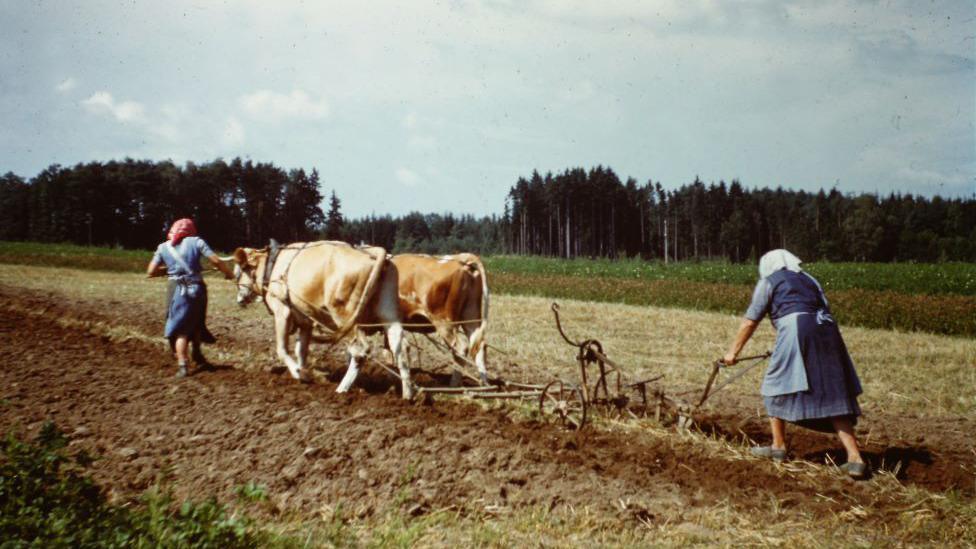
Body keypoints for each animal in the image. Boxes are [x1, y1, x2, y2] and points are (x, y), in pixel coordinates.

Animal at [230, 240, 412, 398]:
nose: (239, 300)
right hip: (388, 316)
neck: (273, 266)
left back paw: (342, 389)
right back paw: (408, 395)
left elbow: (282, 349)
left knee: (360, 351)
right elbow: (301, 350)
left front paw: (299, 373)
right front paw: (305, 371)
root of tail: (373, 253)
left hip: (344, 315)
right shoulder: (305, 321)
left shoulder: (282, 311)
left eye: (237, 273)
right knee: (400, 349)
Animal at [392, 254, 492, 386]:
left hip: (444, 323)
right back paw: (484, 385)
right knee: (479, 347)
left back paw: (453, 385)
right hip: (471, 317)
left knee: (461, 348)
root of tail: (462, 258)